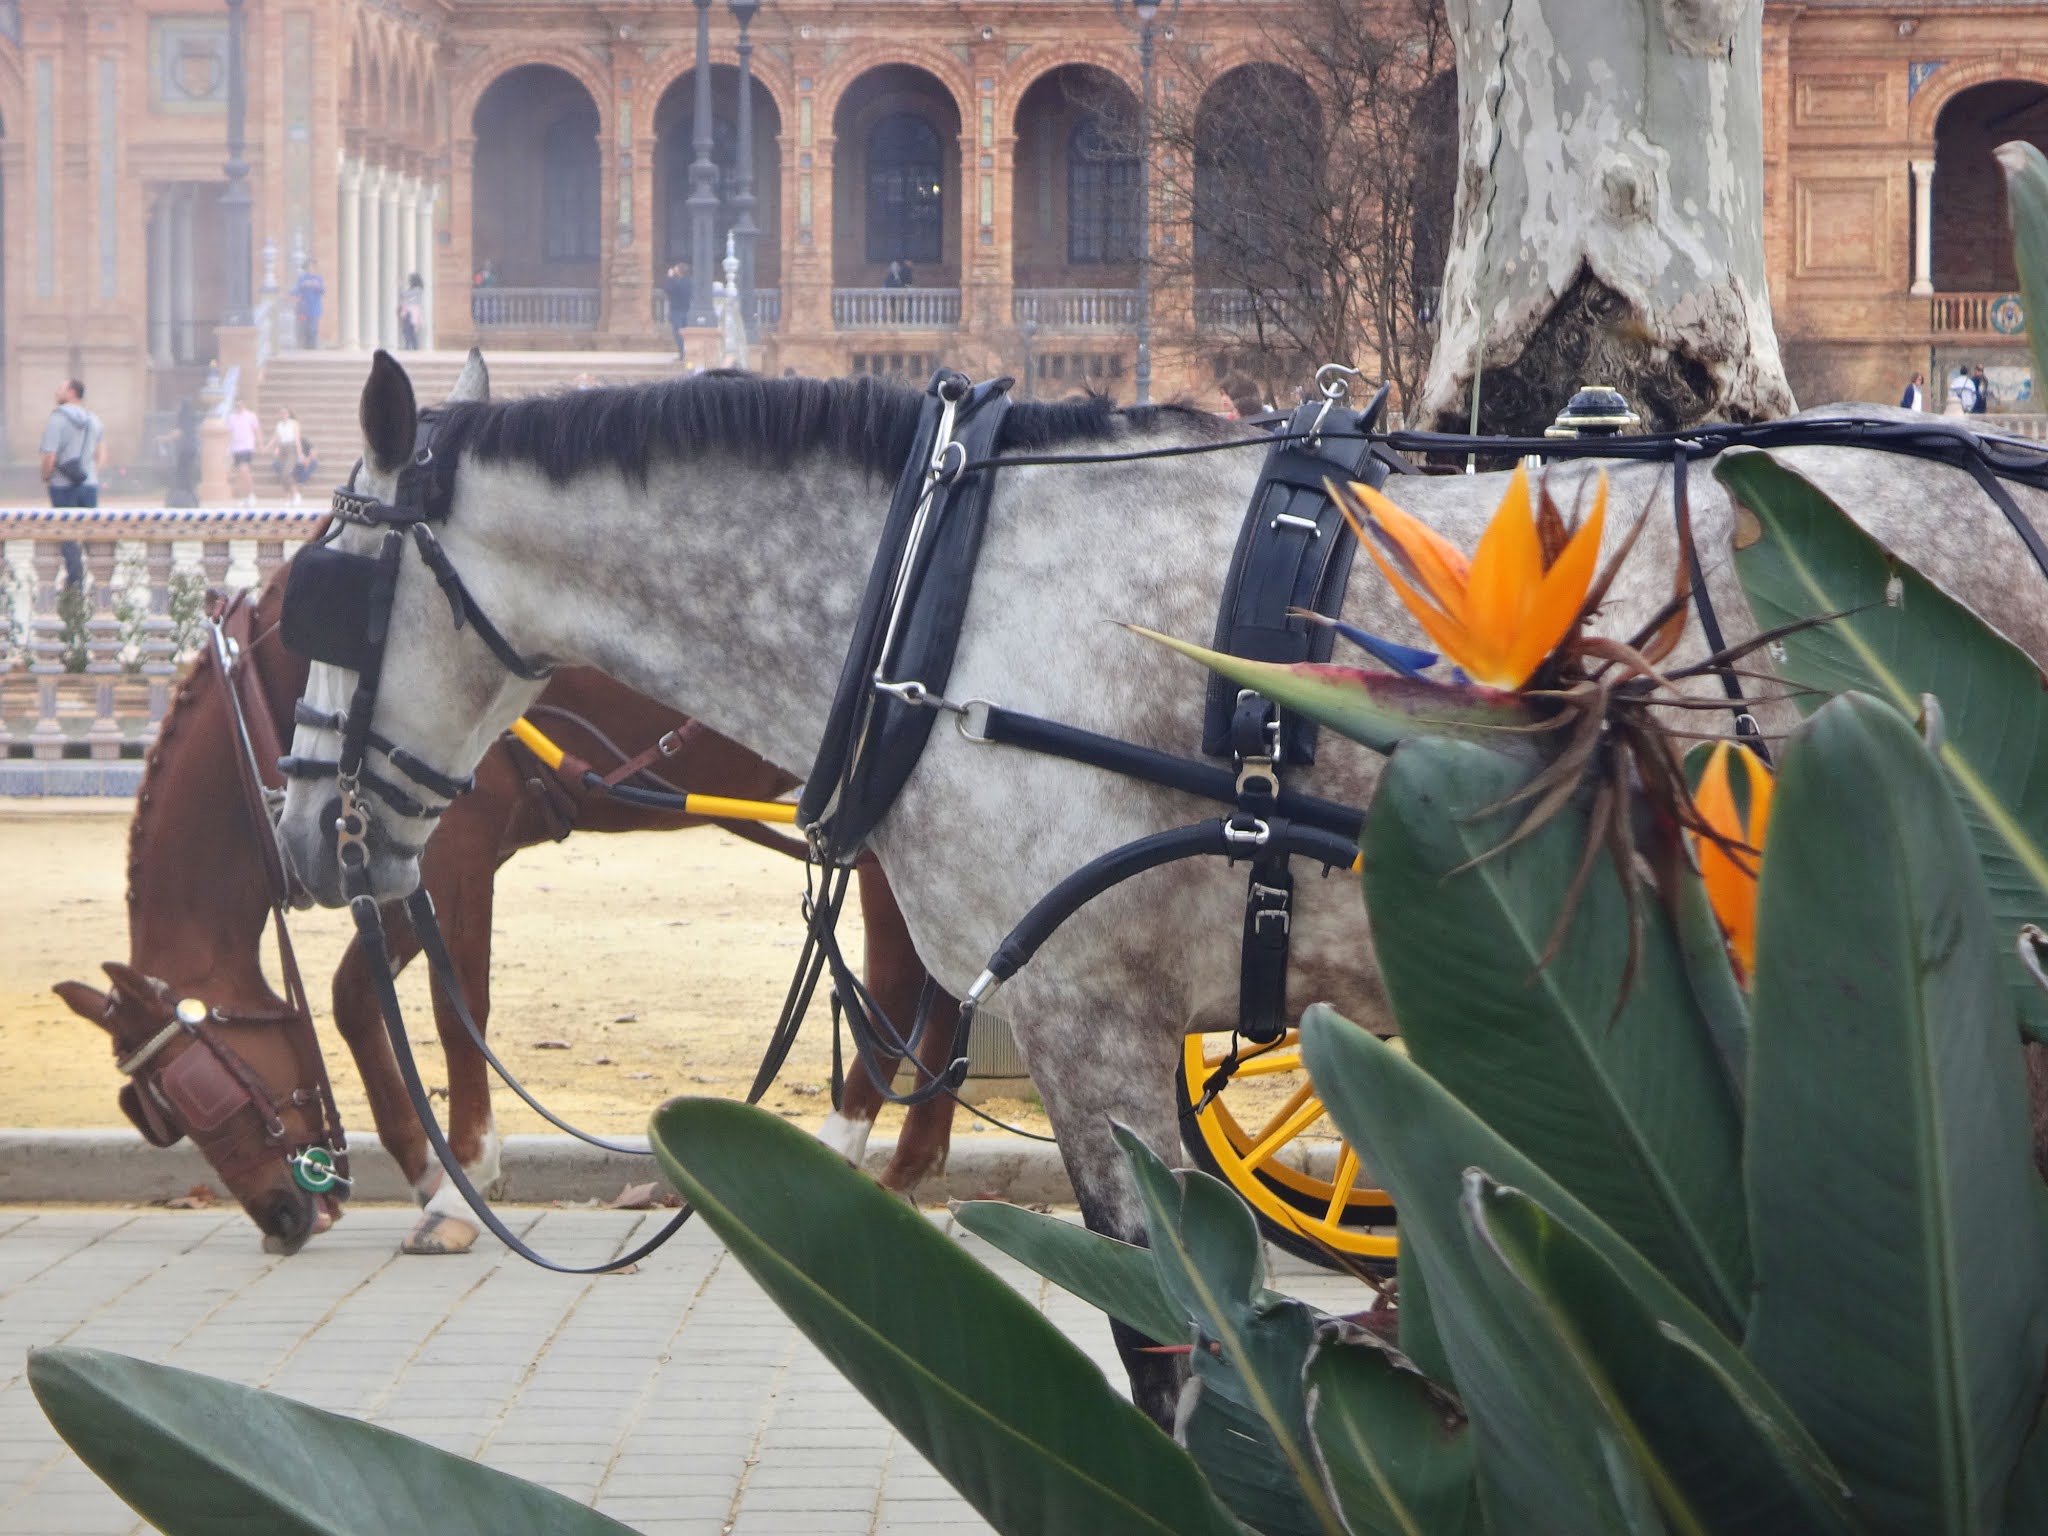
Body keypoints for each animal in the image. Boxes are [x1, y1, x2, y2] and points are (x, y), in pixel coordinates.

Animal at [51, 561, 962, 1253]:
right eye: (156, 1113)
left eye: (195, 1097)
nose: (281, 1217)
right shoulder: (399, 853)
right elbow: (353, 995)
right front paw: (428, 1169)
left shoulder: (456, 841)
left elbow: (462, 1012)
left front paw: (461, 1190)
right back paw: (910, 1168)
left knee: (896, 977)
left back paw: (848, 1152)